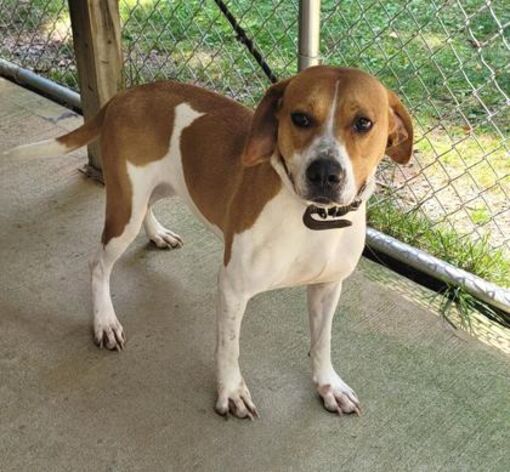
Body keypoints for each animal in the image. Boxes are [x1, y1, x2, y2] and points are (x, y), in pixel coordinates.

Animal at [4, 65, 410, 416]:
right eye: (300, 118)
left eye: (363, 123)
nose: (324, 172)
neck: (313, 219)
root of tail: (125, 95)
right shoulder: (233, 288)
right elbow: (229, 347)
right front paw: (231, 391)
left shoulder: (328, 286)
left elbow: (322, 342)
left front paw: (328, 386)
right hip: (124, 209)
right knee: (98, 264)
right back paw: (104, 320)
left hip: (155, 189)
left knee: (147, 209)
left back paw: (157, 234)